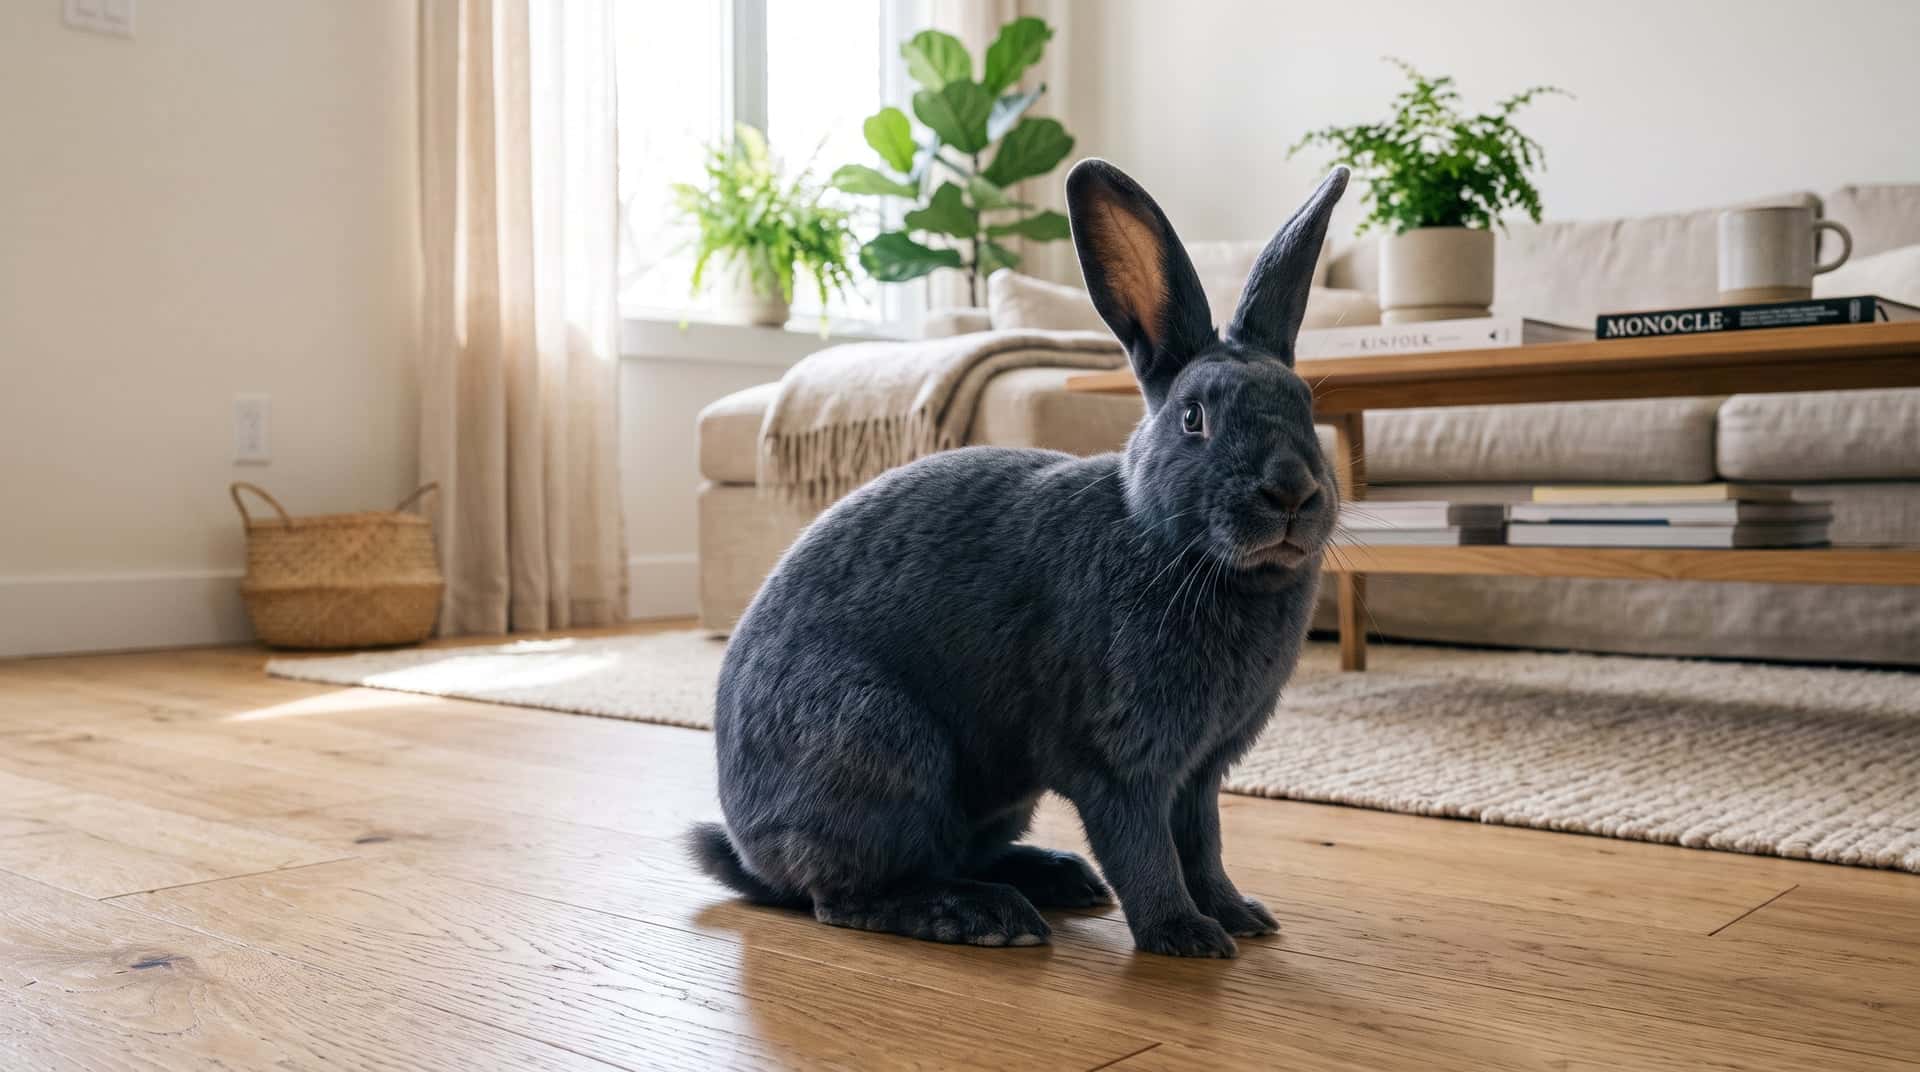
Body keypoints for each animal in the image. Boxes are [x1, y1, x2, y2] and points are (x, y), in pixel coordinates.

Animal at [688, 159, 1349, 958]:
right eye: (1194, 418)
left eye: (1306, 404)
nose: (1291, 491)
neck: (1175, 548)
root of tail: (749, 849)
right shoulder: (1117, 763)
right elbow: (1145, 850)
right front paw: (1184, 935)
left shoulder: (1200, 773)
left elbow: (1204, 846)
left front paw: (1239, 915)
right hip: (880, 749)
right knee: (848, 895)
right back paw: (984, 915)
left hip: (990, 799)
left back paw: (1056, 879)